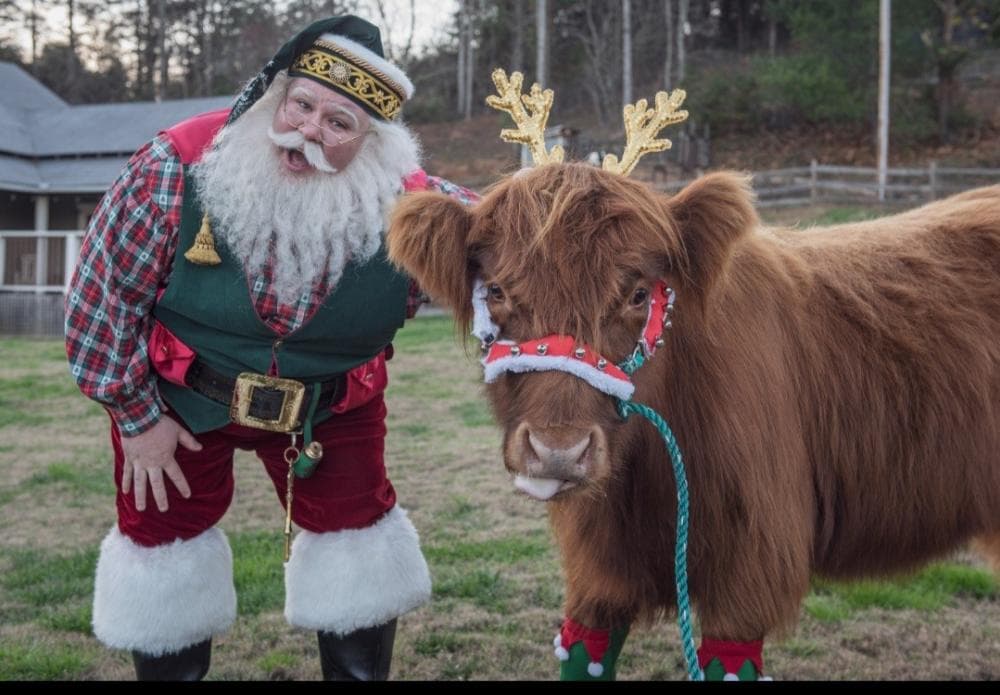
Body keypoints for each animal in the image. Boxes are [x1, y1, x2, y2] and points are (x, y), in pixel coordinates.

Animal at [385, 72, 1000, 681]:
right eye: (496, 290)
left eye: (638, 293)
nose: (558, 450)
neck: (644, 474)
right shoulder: (598, 571)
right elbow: (584, 652)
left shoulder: (750, 568)